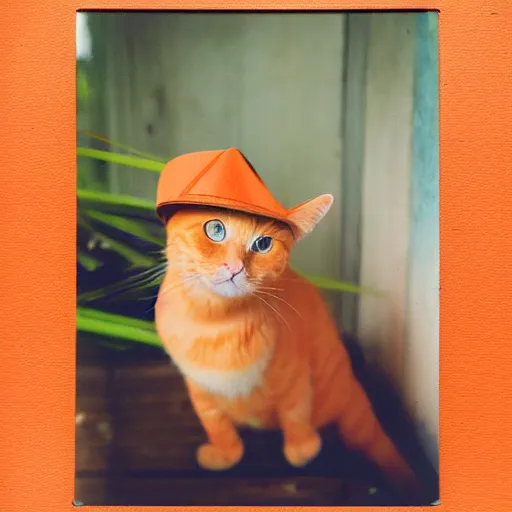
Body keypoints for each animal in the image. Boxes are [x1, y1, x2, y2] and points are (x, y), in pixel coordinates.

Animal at [155, 195, 420, 492]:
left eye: (263, 244)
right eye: (215, 229)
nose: (236, 269)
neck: (217, 324)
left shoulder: (295, 372)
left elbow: (296, 411)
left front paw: (302, 449)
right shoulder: (198, 384)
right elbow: (214, 421)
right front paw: (226, 453)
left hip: (347, 407)